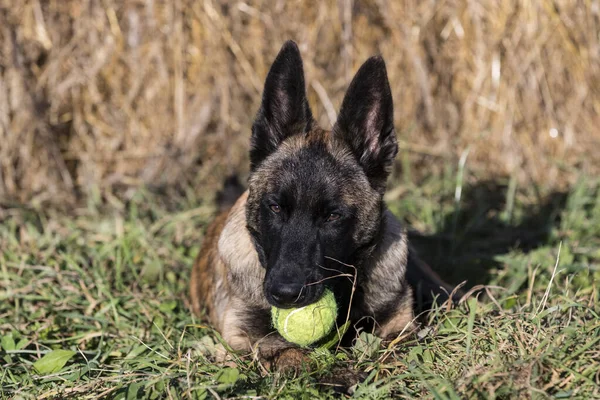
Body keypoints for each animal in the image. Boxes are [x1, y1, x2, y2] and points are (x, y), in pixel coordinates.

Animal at [191, 40, 454, 368]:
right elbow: (291, 353)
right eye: (275, 207)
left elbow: (395, 348)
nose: (285, 294)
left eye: (332, 216)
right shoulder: (241, 337)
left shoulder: (400, 323)